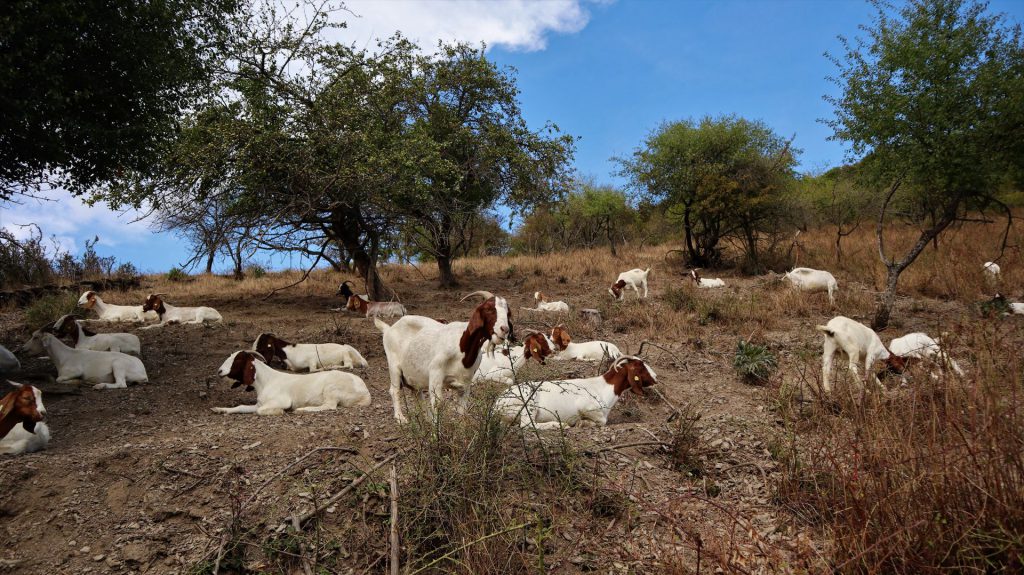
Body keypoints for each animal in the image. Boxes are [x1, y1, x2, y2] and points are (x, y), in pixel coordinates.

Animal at [20, 327, 148, 388]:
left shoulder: (75, 371)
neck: (64, 356)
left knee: (121, 384)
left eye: (36, 337)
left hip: (118, 365)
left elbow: (58, 379)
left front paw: (79, 381)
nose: (23, 348)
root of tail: (143, 373)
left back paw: (98, 386)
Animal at [212, 347, 372, 413]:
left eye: (238, 360)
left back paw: (302, 409)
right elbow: (241, 407)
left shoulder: (281, 401)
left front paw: (279, 412)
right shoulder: (259, 404)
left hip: (331, 389)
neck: (268, 381)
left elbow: (261, 411)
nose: (219, 371)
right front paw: (218, 409)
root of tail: (365, 392)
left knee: (330, 406)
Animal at [378, 290, 512, 421]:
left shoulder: (466, 384)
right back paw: (400, 418)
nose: (505, 329)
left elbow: (461, 410)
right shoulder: (435, 374)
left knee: (417, 393)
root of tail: (389, 329)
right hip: (394, 366)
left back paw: (427, 418)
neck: (462, 349)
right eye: (489, 309)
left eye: (508, 313)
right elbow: (437, 403)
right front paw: (436, 427)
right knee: (394, 390)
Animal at [493, 356, 655, 427]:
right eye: (641, 366)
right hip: (529, 405)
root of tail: (497, 404)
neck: (603, 388)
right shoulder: (586, 407)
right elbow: (602, 421)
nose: (655, 377)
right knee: (528, 425)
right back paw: (558, 425)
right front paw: (582, 422)